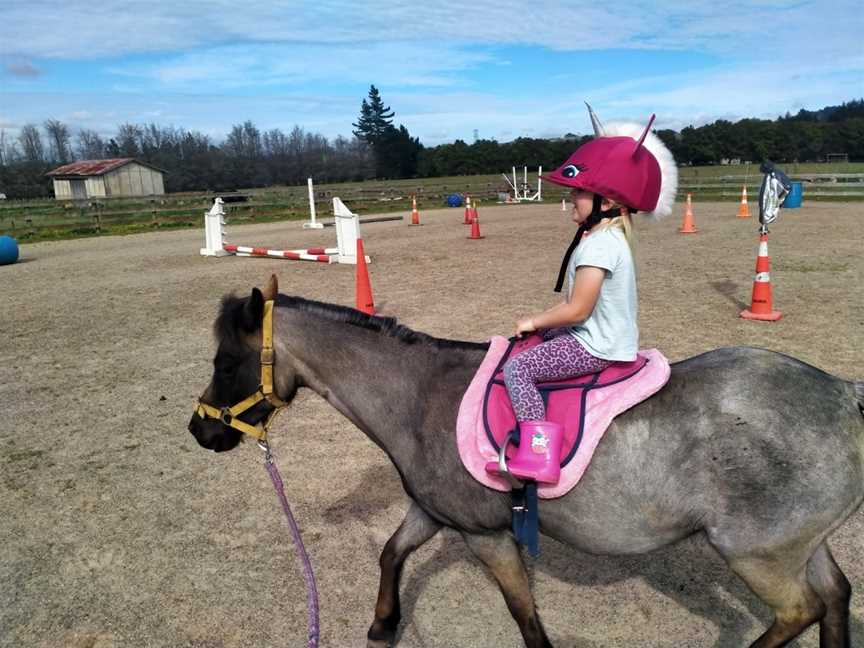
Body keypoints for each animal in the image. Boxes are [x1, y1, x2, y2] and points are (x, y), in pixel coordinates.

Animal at [189, 280, 864, 648]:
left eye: (226, 363)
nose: (200, 430)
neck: (419, 396)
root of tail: (841, 391)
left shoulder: (485, 535)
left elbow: (522, 610)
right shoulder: (433, 512)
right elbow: (390, 552)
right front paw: (383, 624)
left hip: (756, 554)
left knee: (800, 610)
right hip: (799, 545)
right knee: (834, 596)